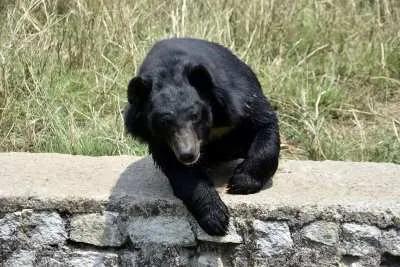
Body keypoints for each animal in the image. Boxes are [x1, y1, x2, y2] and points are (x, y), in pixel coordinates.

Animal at [123, 37, 280, 237]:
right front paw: (216, 218)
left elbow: (264, 124)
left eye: (195, 116)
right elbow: (181, 172)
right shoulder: (159, 140)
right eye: (164, 123)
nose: (188, 154)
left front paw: (241, 183)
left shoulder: (239, 99)